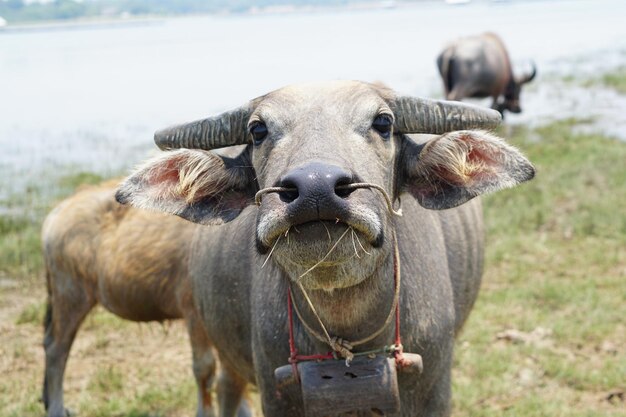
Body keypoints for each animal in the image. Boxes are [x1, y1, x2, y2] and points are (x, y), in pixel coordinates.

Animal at [40, 181, 250, 416]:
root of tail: (58, 212)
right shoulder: (193, 314)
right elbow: (205, 370)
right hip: (70, 298)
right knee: (57, 349)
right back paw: (57, 409)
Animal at [113, 79, 532, 414]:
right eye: (258, 129)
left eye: (383, 122)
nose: (316, 187)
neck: (343, 327)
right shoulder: (277, 392)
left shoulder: (433, 390)